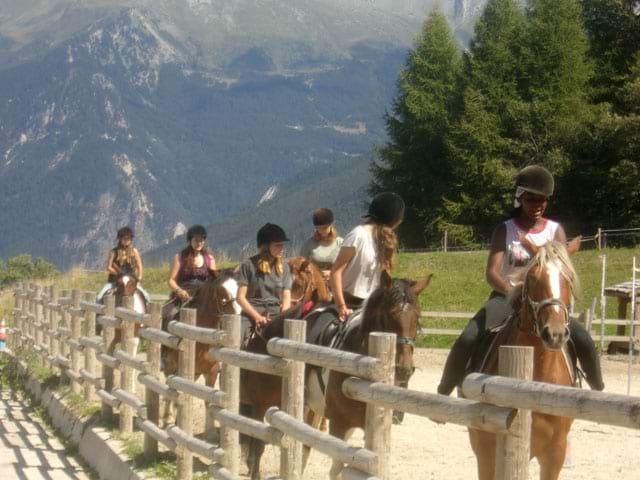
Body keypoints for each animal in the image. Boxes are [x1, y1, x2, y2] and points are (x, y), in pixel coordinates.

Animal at [242, 272, 432, 478]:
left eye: (417, 317)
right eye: (389, 316)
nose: (405, 368)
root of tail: (263, 333)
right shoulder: (339, 424)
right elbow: (336, 470)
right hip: (262, 404)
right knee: (258, 443)